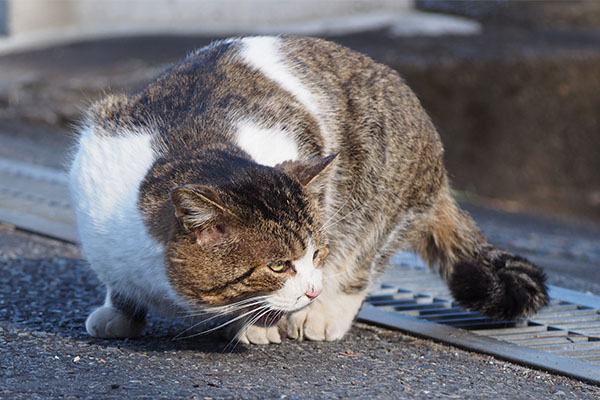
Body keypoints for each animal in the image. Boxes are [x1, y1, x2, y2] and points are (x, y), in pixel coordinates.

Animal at [69, 36, 548, 346]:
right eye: (278, 265)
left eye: (316, 254)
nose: (313, 288)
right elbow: (119, 282)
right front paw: (119, 310)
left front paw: (260, 325)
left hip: (382, 184)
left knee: (364, 259)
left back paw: (322, 315)